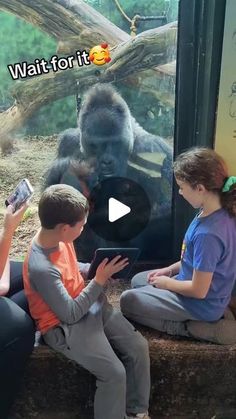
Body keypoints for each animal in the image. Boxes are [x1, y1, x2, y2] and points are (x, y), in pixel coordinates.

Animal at [44, 83, 173, 260]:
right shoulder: (68, 141)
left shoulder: (152, 150)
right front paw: (67, 169)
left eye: (115, 142)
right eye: (96, 145)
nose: (106, 161)